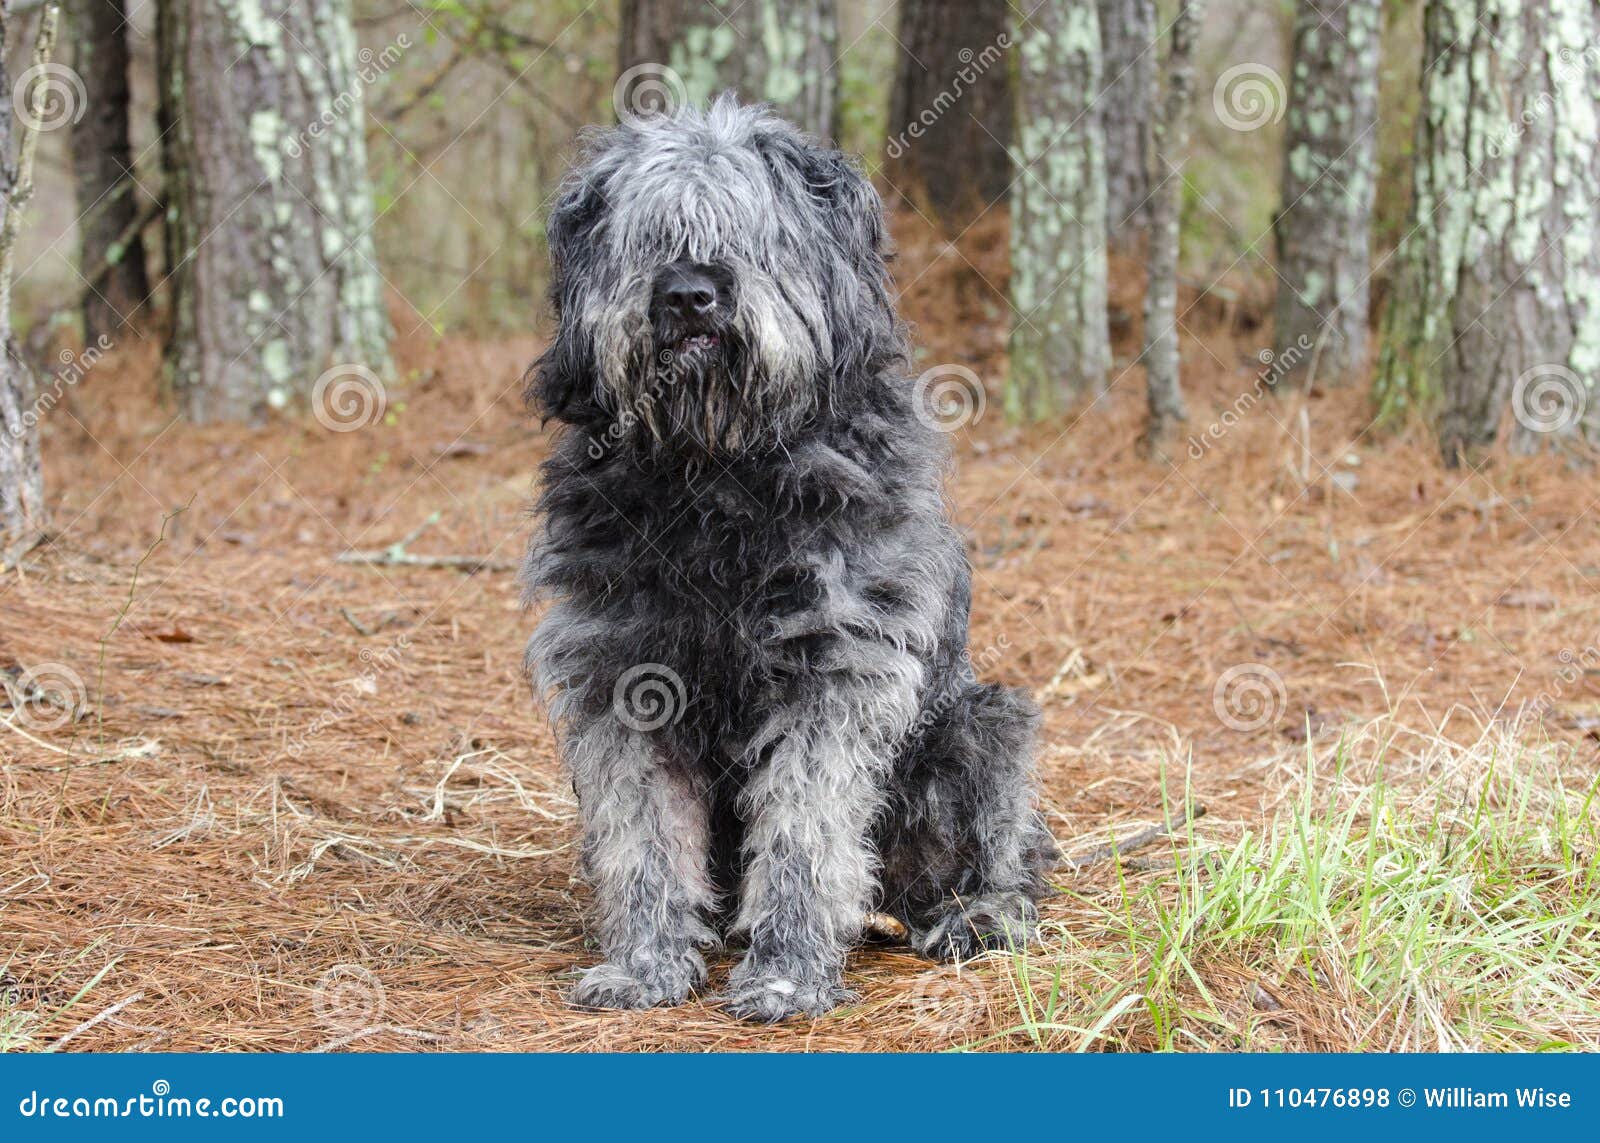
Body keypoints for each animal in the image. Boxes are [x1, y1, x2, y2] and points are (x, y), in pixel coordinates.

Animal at [518, 100, 1056, 1024]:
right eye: (651, 235)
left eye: (746, 232)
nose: (687, 293)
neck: (715, 472)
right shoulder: (619, 671)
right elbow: (642, 834)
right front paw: (646, 962)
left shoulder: (836, 667)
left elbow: (806, 829)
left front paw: (788, 972)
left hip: (981, 726)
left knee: (1007, 859)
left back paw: (976, 916)